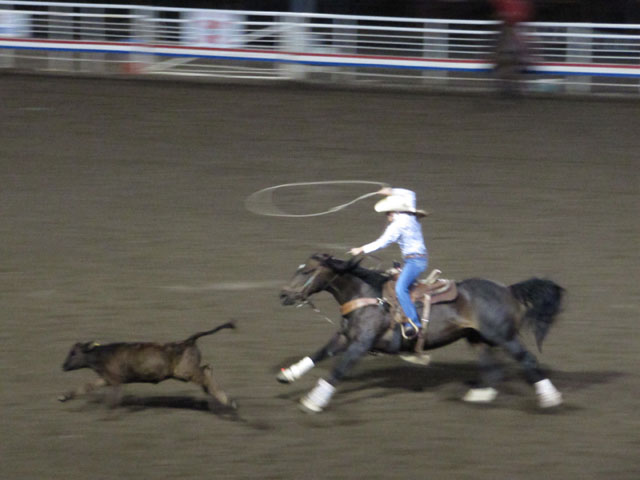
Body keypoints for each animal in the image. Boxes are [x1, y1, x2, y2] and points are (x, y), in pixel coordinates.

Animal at [58, 322, 235, 408]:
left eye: (73, 353)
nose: (63, 366)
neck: (103, 354)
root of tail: (188, 340)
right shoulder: (106, 378)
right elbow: (87, 386)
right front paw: (64, 396)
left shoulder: (115, 379)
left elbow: (113, 395)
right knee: (207, 370)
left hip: (184, 372)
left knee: (205, 373)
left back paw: (228, 401)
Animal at [278, 253, 564, 414]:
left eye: (306, 271)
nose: (283, 295)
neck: (366, 295)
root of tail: (509, 289)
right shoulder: (346, 337)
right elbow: (320, 353)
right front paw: (289, 374)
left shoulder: (360, 344)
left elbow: (338, 370)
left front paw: (313, 401)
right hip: (477, 338)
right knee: (491, 368)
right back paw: (479, 395)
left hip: (503, 337)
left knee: (528, 360)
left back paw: (551, 399)